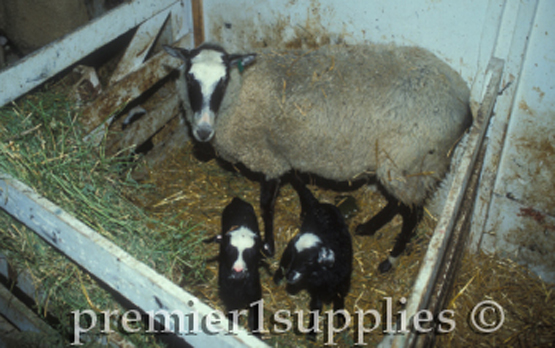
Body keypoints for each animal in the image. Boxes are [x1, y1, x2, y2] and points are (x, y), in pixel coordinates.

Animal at [204, 196, 262, 334]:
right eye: (228, 250)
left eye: (252, 252)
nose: (238, 271)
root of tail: (237, 200)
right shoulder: (228, 293)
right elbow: (232, 313)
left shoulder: (255, 292)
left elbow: (255, 317)